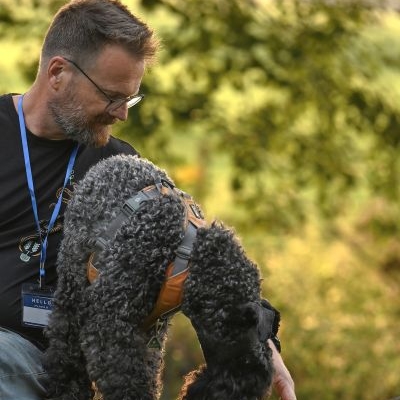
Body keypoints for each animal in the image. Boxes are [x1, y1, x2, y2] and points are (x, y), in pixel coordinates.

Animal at [43, 155, 280, 398]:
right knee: (64, 344)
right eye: (245, 362)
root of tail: (107, 163)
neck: (188, 257)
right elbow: (126, 380)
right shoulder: (109, 322)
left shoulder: (150, 331)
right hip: (73, 285)